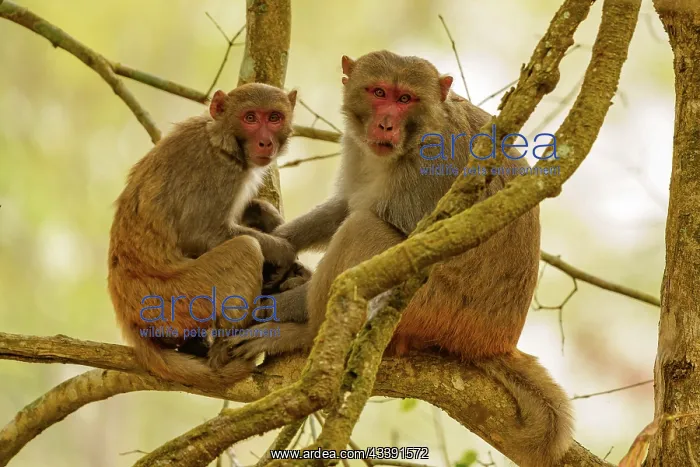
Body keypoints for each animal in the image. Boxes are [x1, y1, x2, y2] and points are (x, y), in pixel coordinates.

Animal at [107, 82, 298, 390]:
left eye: (274, 117)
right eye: (250, 118)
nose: (265, 143)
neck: (221, 139)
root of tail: (129, 321)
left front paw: (266, 215)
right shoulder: (217, 171)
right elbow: (199, 234)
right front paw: (285, 252)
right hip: (175, 301)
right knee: (245, 248)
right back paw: (223, 351)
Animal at [226, 52, 574, 466]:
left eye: (406, 98)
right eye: (379, 92)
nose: (386, 123)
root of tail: (493, 342)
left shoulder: (429, 165)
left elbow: (404, 247)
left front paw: (276, 306)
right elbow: (347, 204)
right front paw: (274, 243)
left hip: (434, 310)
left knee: (366, 231)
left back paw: (303, 330)